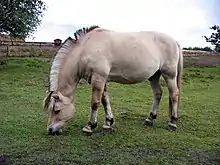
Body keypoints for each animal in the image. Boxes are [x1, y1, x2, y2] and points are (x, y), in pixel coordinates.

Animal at [42, 24, 182, 135]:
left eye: (57, 110)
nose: (50, 130)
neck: (85, 49)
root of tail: (175, 41)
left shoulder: (98, 78)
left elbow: (95, 102)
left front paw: (89, 126)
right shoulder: (101, 80)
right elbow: (105, 101)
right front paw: (108, 123)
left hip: (169, 75)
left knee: (174, 94)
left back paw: (173, 122)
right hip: (154, 76)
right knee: (158, 93)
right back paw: (150, 119)